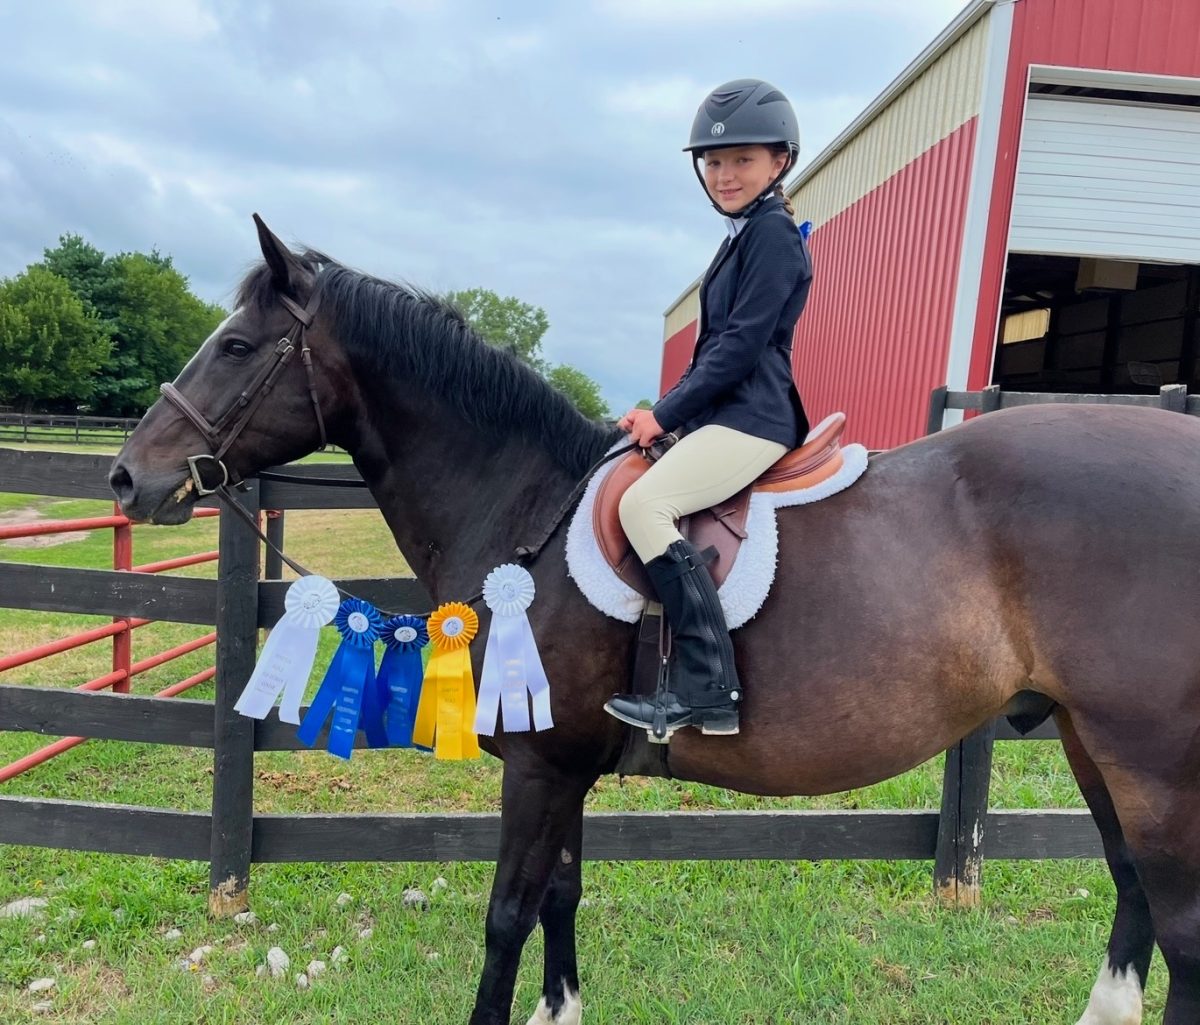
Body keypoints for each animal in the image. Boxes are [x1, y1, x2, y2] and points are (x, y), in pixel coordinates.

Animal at [112, 223, 1200, 1025]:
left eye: (236, 347)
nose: (128, 477)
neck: (531, 503)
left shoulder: (540, 764)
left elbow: (506, 914)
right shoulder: (564, 761)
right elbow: (560, 895)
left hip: (1148, 763)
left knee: (1180, 927)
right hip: (1089, 741)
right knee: (1133, 891)